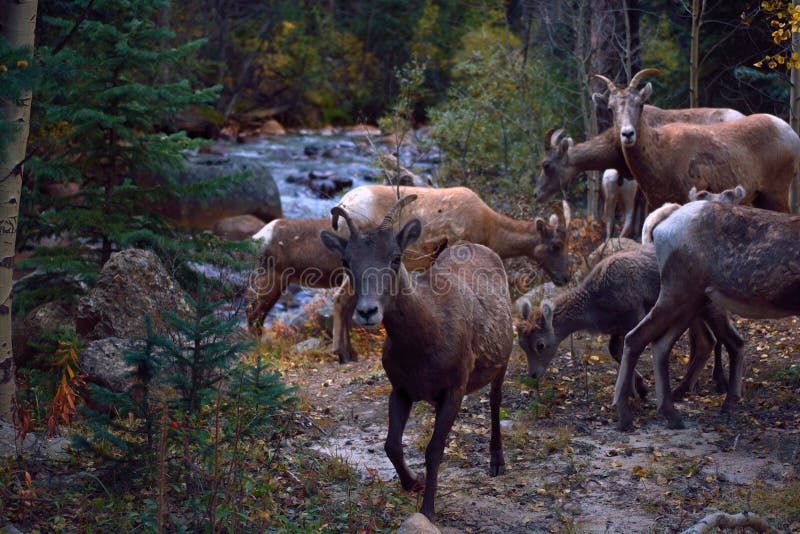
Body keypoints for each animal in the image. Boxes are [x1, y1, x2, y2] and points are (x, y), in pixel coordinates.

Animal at [320, 196, 514, 520]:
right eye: (347, 262)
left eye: (395, 257)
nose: (367, 311)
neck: (425, 344)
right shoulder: (401, 389)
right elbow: (391, 445)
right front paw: (413, 483)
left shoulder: (454, 388)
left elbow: (434, 450)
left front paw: (428, 511)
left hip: (504, 358)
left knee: (496, 401)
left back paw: (497, 463)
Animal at [328, 184, 571, 362]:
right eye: (556, 245)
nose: (566, 277)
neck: (491, 229)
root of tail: (342, 205)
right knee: (340, 299)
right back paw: (342, 355)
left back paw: (348, 353)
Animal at [595, 69, 799, 212]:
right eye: (610, 108)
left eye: (640, 104)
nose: (628, 134)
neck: (659, 157)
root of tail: (791, 134)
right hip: (760, 197)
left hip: (776, 192)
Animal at [614, 201, 800, 430]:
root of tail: (660, 226)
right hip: (678, 291)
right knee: (636, 338)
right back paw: (625, 414)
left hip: (692, 302)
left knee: (661, 345)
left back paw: (672, 413)